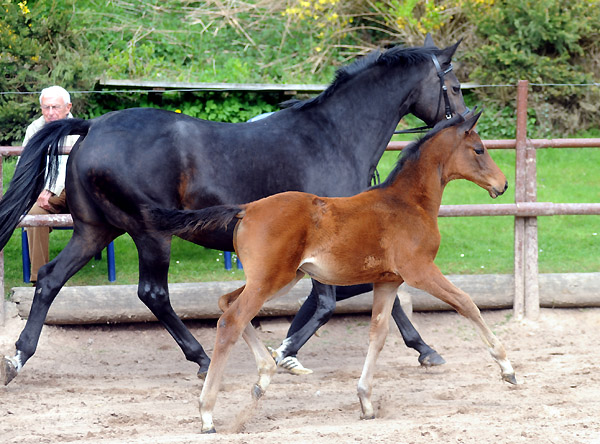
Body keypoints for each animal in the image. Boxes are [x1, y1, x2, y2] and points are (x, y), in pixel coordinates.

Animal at [149, 112, 516, 434]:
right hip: (272, 279)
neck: (408, 202)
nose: (503, 184)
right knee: (232, 320)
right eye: (479, 149)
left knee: (227, 303)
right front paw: (507, 368)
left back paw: (265, 373)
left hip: (281, 278)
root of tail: (246, 209)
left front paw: (366, 402)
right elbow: (467, 304)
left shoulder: (388, 281)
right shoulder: (420, 271)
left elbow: (378, 333)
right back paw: (208, 413)